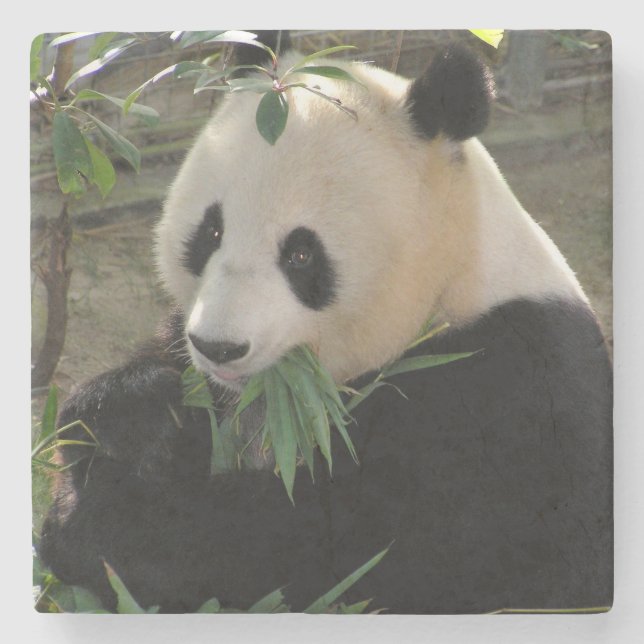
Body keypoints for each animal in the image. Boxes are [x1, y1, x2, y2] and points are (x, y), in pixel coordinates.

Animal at [39, 36, 613, 614]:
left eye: (300, 254)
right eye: (211, 232)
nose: (218, 347)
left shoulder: (508, 388)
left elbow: (358, 547)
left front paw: (102, 525)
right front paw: (132, 417)